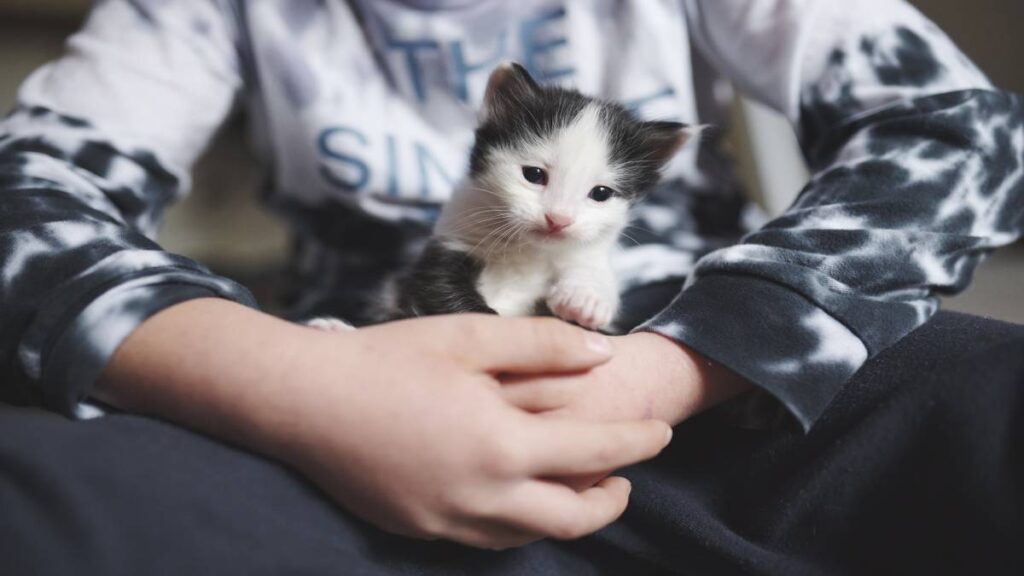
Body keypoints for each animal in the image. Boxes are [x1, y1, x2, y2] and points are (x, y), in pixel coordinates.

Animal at [309, 61, 696, 332]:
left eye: (600, 193)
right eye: (534, 175)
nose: (558, 219)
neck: (528, 252)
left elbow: (589, 275)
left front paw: (585, 300)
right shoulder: (448, 245)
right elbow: (438, 290)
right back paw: (332, 329)